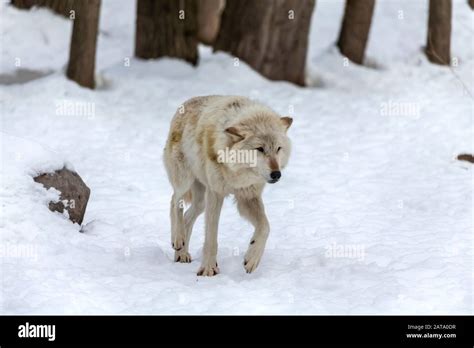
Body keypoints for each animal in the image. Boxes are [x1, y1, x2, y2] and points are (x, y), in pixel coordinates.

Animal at [164, 94, 292, 274]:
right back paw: (177, 238)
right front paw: (208, 269)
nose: (276, 174)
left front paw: (252, 259)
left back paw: (181, 254)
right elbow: (211, 238)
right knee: (175, 201)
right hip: (185, 181)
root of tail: (185, 104)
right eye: (260, 149)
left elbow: (265, 227)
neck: (236, 171)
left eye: (278, 149)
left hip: (201, 201)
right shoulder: (216, 194)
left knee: (188, 216)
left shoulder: (248, 196)